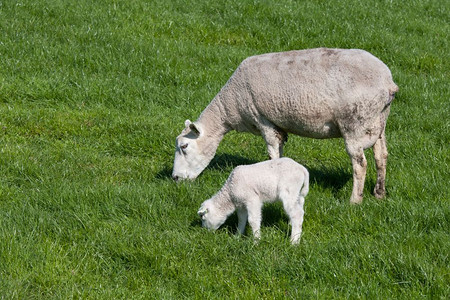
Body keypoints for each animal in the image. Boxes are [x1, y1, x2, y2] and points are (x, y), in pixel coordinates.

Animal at [172, 48, 398, 205]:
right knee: (381, 156)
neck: (230, 105)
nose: (175, 178)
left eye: (184, 146)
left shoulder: (264, 121)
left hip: (355, 124)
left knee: (360, 164)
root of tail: (388, 83)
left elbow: (273, 154)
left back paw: (354, 201)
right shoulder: (277, 125)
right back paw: (379, 193)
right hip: (378, 122)